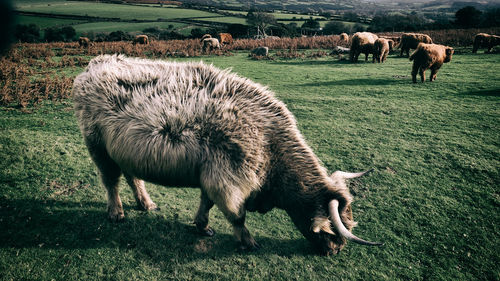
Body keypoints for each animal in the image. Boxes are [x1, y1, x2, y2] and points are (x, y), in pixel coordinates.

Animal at [72, 54, 380, 254]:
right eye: (333, 228)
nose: (336, 249)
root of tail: (96, 63)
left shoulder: (211, 174)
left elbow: (206, 204)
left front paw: (202, 226)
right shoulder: (227, 179)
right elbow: (237, 215)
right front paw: (248, 242)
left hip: (124, 149)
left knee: (132, 177)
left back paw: (146, 203)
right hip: (97, 144)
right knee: (110, 180)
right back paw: (116, 212)